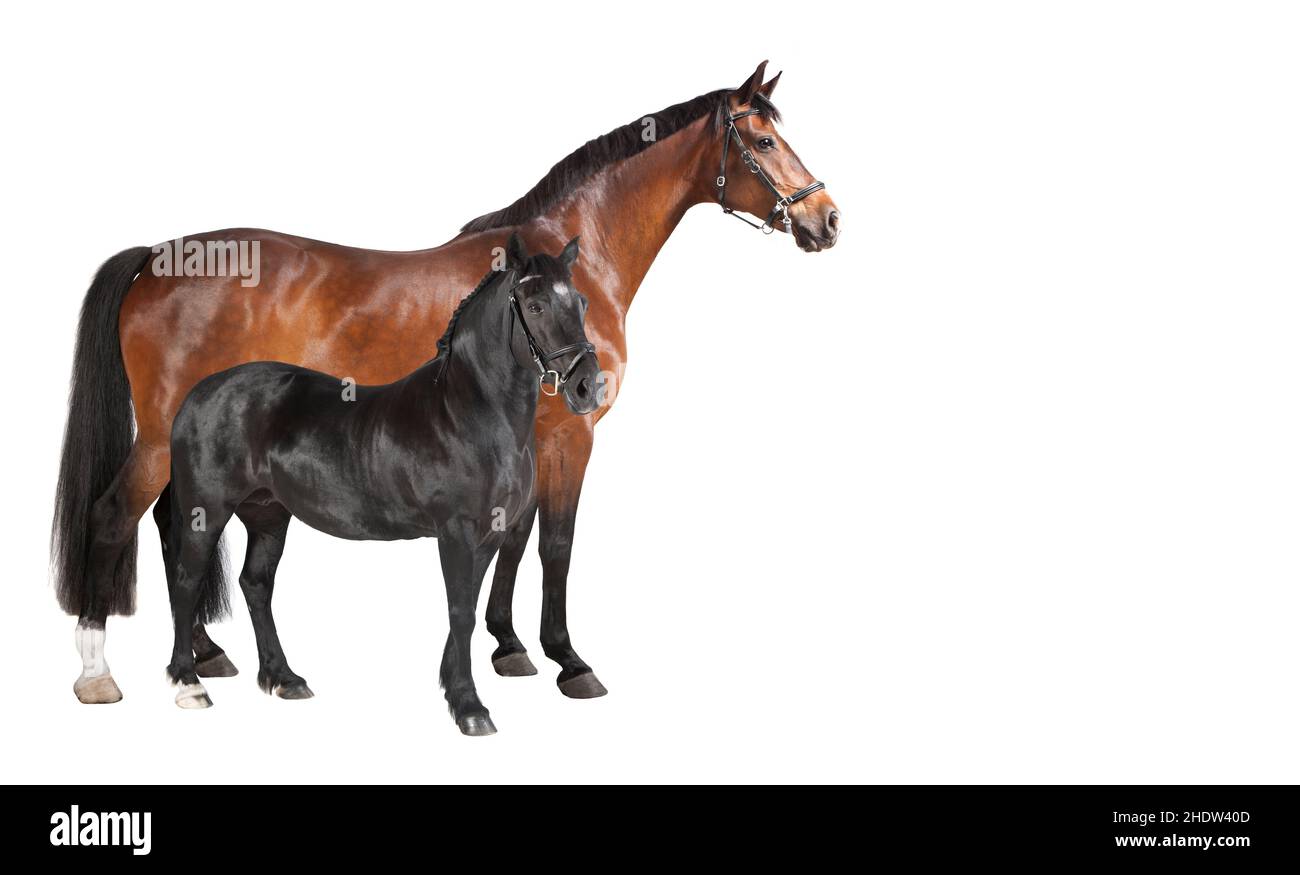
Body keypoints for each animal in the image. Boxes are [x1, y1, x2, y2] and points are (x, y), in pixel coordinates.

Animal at [163, 235, 597, 735]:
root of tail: (198, 394)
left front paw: (452, 687)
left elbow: (466, 604)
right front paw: (470, 708)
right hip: (207, 511)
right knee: (185, 581)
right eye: (536, 304)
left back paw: (284, 678)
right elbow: (460, 611)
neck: (469, 412)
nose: (587, 386)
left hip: (268, 515)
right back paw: (189, 683)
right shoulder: (455, 532)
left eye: (581, 302)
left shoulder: (489, 535)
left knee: (255, 584)